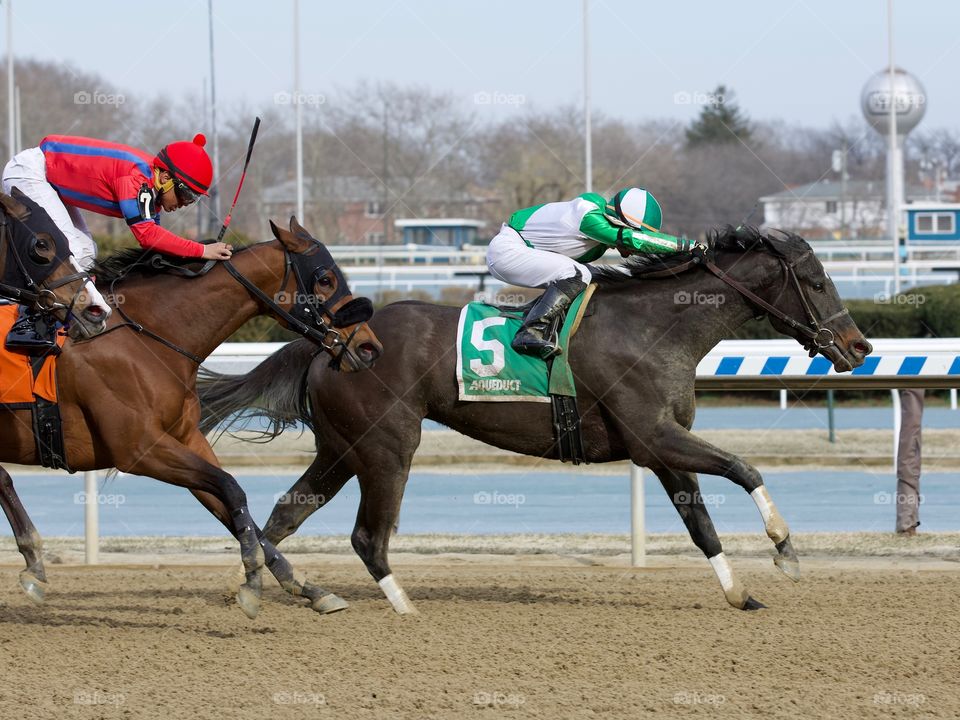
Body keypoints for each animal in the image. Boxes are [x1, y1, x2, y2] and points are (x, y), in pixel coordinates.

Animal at [0, 218, 382, 620]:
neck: (148, 338)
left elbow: (231, 504)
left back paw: (34, 563)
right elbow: (231, 488)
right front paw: (252, 584)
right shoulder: (138, 450)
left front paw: (307, 587)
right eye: (325, 279)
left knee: (4, 480)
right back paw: (34, 564)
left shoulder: (186, 439)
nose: (369, 347)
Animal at [199, 225, 872, 612]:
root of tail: (331, 342)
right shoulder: (655, 436)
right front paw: (785, 549)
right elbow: (744, 467)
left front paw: (739, 593)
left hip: (342, 446)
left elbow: (701, 524)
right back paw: (404, 608)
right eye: (817, 280)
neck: (657, 326)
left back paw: (272, 588)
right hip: (387, 446)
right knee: (368, 536)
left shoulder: (661, 445)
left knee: (284, 514)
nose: (859, 347)